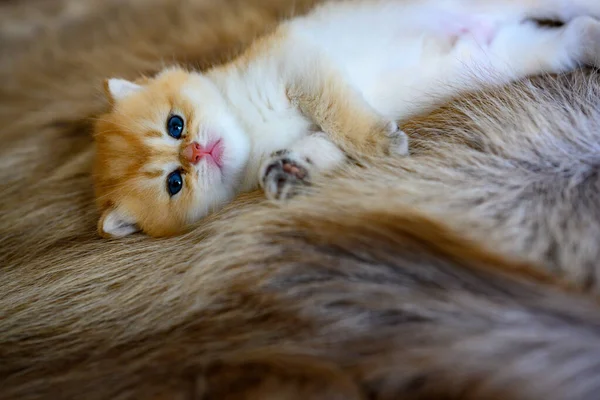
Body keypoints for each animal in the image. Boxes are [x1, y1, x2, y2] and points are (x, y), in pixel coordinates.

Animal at [91, 0, 600, 238]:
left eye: (175, 125)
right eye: (174, 183)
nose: (197, 151)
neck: (251, 129)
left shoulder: (301, 66)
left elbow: (339, 114)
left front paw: (380, 143)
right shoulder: (311, 123)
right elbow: (323, 143)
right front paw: (286, 171)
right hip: (511, 54)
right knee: (568, 34)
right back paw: (593, 40)